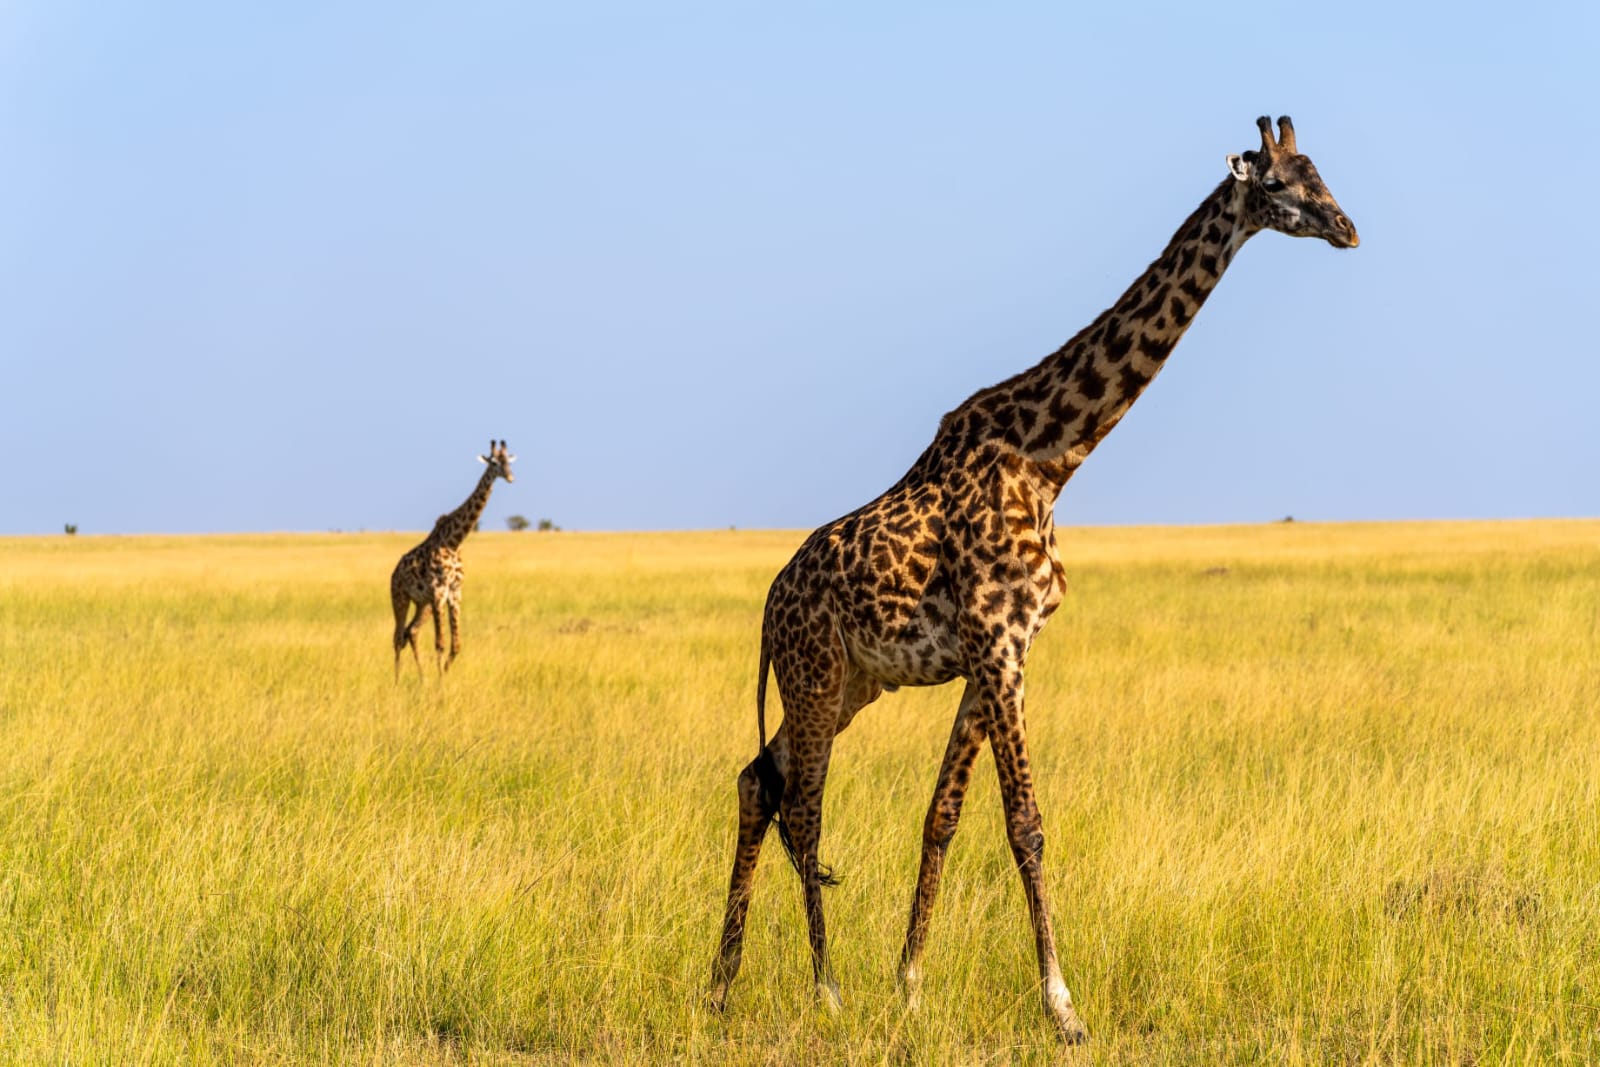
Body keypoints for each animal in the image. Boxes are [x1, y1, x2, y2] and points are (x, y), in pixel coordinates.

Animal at [390, 439, 515, 679]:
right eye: (494, 462)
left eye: (509, 461)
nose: (510, 477)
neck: (454, 542)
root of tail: (394, 574)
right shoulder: (439, 592)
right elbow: (440, 643)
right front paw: (441, 683)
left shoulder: (455, 593)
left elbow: (455, 645)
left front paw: (444, 675)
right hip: (400, 598)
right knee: (398, 636)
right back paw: (398, 680)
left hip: (422, 603)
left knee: (412, 631)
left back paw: (422, 679)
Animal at [707, 117, 1357, 1043]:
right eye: (1277, 185)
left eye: (1321, 172)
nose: (1347, 228)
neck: (1051, 460)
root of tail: (766, 607)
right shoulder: (996, 645)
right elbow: (1026, 824)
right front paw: (1063, 1007)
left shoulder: (1003, 652)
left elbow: (942, 815)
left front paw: (910, 983)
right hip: (815, 672)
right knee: (801, 804)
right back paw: (823, 987)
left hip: (852, 685)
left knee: (756, 778)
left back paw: (721, 986)